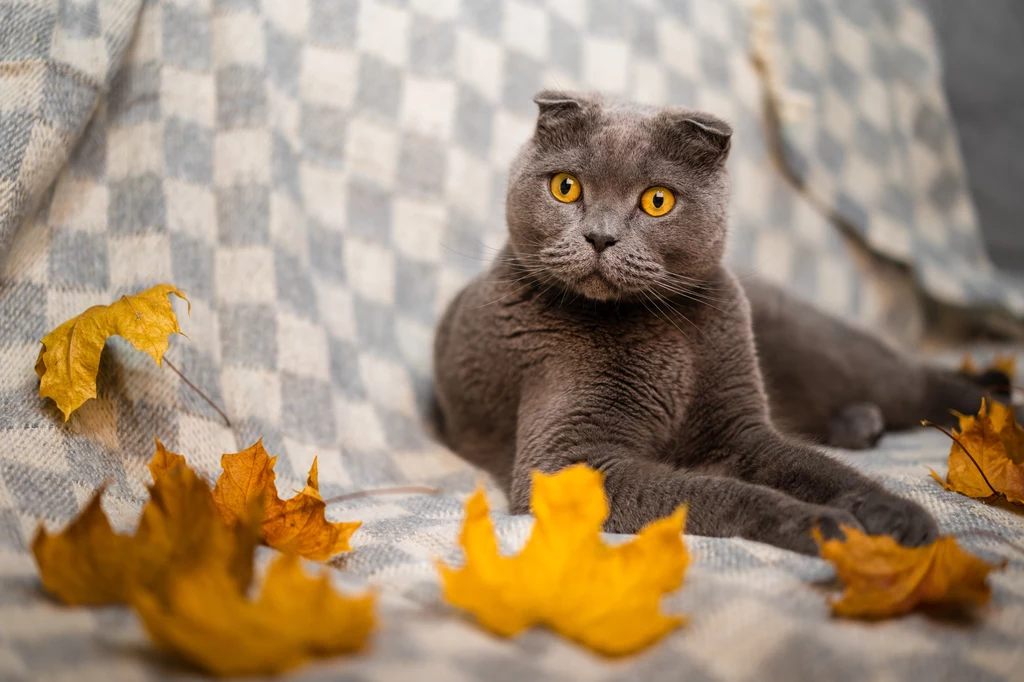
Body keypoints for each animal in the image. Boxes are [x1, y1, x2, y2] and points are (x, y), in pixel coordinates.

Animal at [432, 90, 1007, 557]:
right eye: (566, 187)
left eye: (657, 200)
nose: (599, 237)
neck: (658, 331)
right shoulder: (569, 464)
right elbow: (718, 492)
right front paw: (824, 525)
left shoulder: (738, 426)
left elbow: (814, 467)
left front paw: (897, 514)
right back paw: (861, 425)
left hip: (834, 354)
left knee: (923, 384)